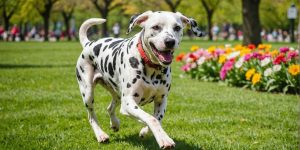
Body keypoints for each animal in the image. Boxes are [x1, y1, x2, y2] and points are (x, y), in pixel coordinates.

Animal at [76, 10, 205, 149]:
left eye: (177, 27)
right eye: (156, 27)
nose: (170, 41)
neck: (151, 67)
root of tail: (89, 44)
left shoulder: (161, 100)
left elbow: (157, 118)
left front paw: (145, 131)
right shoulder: (128, 103)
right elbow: (151, 119)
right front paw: (164, 139)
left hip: (117, 93)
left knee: (110, 108)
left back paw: (115, 124)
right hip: (88, 93)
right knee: (91, 116)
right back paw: (101, 135)